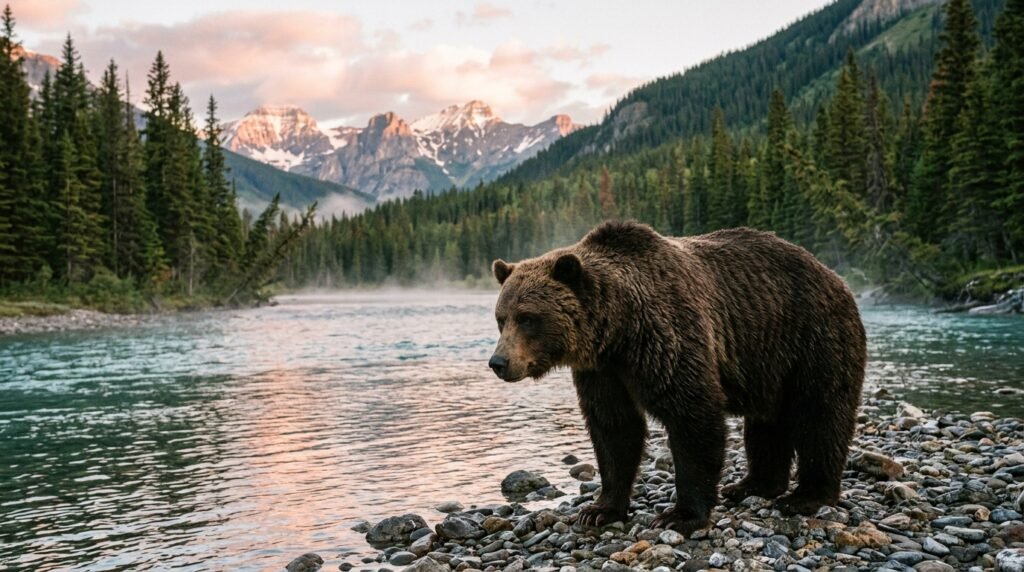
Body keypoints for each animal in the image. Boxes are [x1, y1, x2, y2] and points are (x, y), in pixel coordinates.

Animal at [487, 221, 866, 534]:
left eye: (528, 318)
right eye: (501, 318)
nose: (498, 362)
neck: (619, 331)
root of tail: (836, 277)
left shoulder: (668, 337)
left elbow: (692, 416)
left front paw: (681, 514)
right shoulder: (602, 371)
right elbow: (614, 429)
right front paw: (599, 510)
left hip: (812, 338)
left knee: (820, 415)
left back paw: (806, 496)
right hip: (769, 363)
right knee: (766, 424)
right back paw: (752, 485)